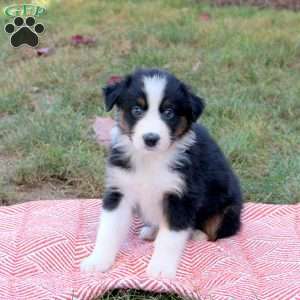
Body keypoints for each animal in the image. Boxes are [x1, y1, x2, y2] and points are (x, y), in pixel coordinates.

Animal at [81, 68, 243, 278]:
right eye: (137, 110)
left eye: (168, 112)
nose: (151, 139)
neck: (151, 159)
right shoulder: (119, 190)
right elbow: (108, 230)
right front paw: (97, 261)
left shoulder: (181, 196)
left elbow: (170, 238)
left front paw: (161, 268)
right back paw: (151, 231)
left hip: (228, 210)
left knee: (214, 231)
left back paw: (196, 233)